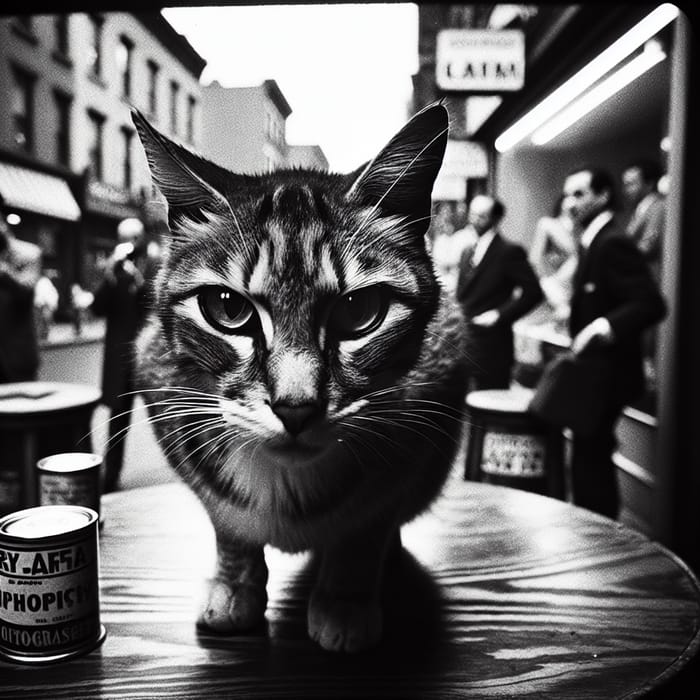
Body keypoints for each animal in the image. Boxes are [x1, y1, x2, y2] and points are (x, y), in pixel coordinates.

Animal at [131, 104, 470, 652]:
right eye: (227, 308)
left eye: (360, 310)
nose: (295, 408)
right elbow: (227, 524)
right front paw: (234, 586)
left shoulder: (422, 427)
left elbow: (366, 525)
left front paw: (346, 600)